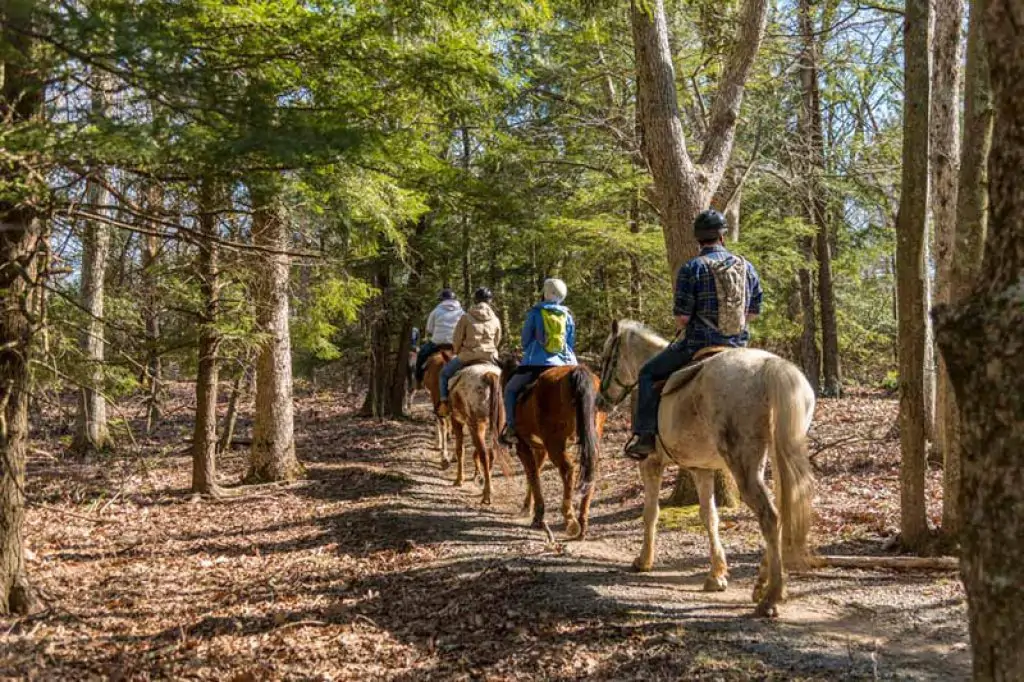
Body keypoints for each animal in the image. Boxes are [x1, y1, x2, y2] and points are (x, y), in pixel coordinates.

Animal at [452, 364, 507, 501]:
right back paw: (488, 488)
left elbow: (460, 449)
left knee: (484, 454)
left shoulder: (457, 421)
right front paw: (478, 475)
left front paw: (459, 480)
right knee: (492, 453)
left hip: (477, 424)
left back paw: (487, 494)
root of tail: (489, 375)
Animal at [499, 358, 602, 540]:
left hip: (555, 443)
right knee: (590, 470)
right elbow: (535, 473)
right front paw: (529, 508)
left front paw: (537, 514)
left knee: (567, 469)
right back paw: (582, 523)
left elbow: (532, 474)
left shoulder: (523, 447)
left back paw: (570, 519)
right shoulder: (541, 449)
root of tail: (576, 372)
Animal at [598, 319, 815, 614]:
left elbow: (650, 513)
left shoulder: (651, 464)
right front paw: (716, 575)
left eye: (606, 357)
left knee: (769, 516)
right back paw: (762, 584)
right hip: (780, 453)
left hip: (745, 465)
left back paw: (771, 596)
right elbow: (709, 516)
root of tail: (770, 366)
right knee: (782, 509)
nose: (600, 401)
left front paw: (643, 560)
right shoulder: (701, 469)